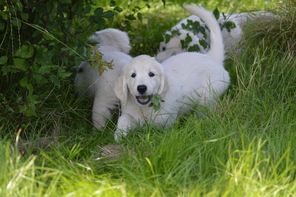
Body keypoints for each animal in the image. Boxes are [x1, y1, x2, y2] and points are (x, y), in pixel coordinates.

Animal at [114, 4, 230, 140]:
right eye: (133, 75)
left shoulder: (166, 121)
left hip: (208, 96)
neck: (145, 107)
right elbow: (123, 119)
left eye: (151, 74)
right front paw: (119, 135)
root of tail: (211, 57)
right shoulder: (130, 113)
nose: (142, 88)